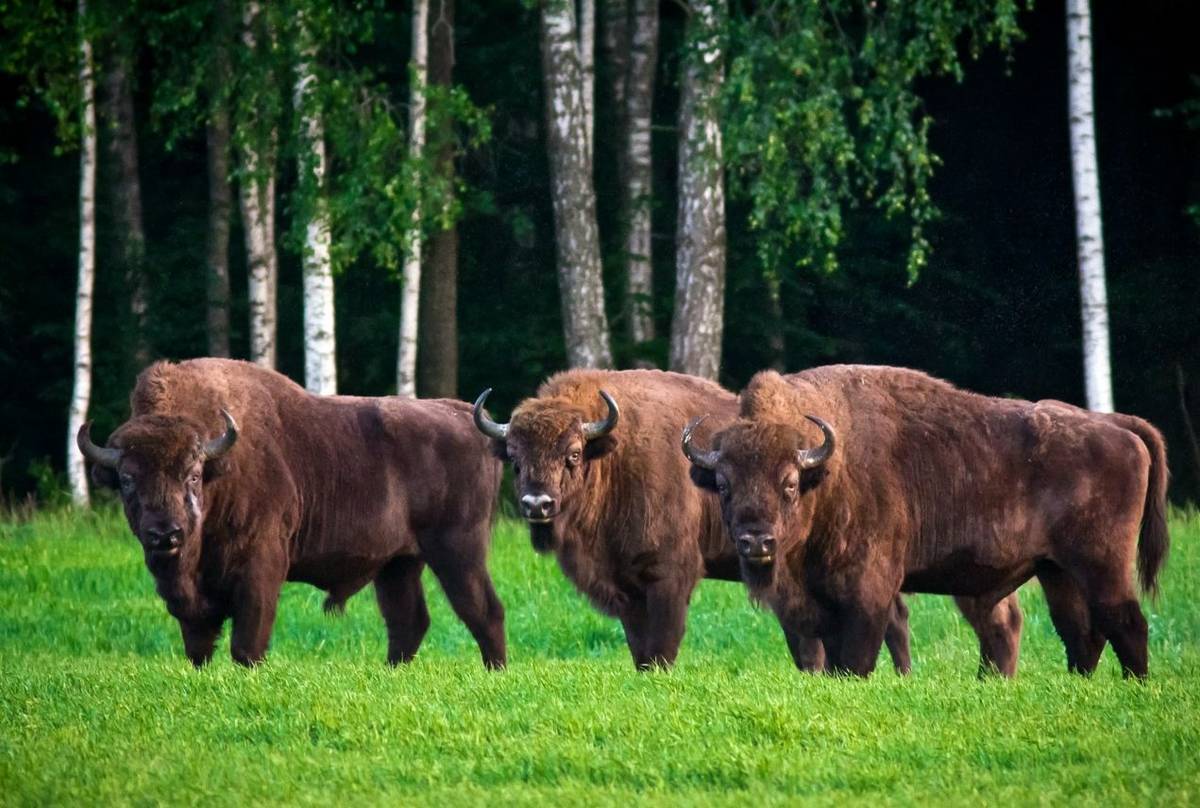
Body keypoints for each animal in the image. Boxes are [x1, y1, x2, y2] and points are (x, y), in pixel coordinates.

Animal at [75, 360, 506, 667]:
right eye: (127, 479)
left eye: (193, 474)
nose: (166, 534)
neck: (221, 467)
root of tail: (465, 415)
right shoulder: (188, 599)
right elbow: (198, 645)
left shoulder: (261, 569)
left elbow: (247, 643)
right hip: (399, 563)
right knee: (408, 621)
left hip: (457, 550)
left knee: (484, 611)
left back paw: (495, 671)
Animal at [686, 369, 1171, 677]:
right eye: (723, 485)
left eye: (789, 483)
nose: (756, 542)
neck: (827, 473)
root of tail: (1115, 425)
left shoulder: (868, 593)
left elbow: (855, 660)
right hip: (1057, 572)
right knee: (1081, 633)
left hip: (1101, 565)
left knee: (1127, 622)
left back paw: (1136, 687)